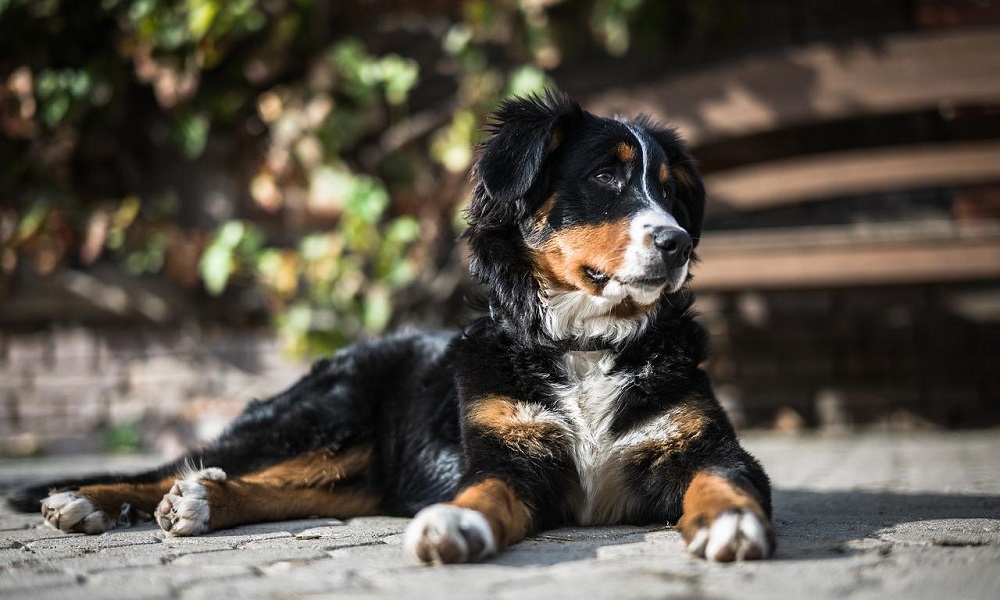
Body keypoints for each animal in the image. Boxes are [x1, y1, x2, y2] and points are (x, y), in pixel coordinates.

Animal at [5, 90, 772, 564]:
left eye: (672, 191)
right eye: (607, 178)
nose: (676, 242)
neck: (586, 347)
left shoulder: (706, 446)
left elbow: (722, 479)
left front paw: (729, 522)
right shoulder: (509, 458)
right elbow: (483, 492)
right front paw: (457, 524)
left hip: (355, 466)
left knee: (275, 487)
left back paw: (200, 503)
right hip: (324, 417)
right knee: (183, 464)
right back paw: (86, 501)